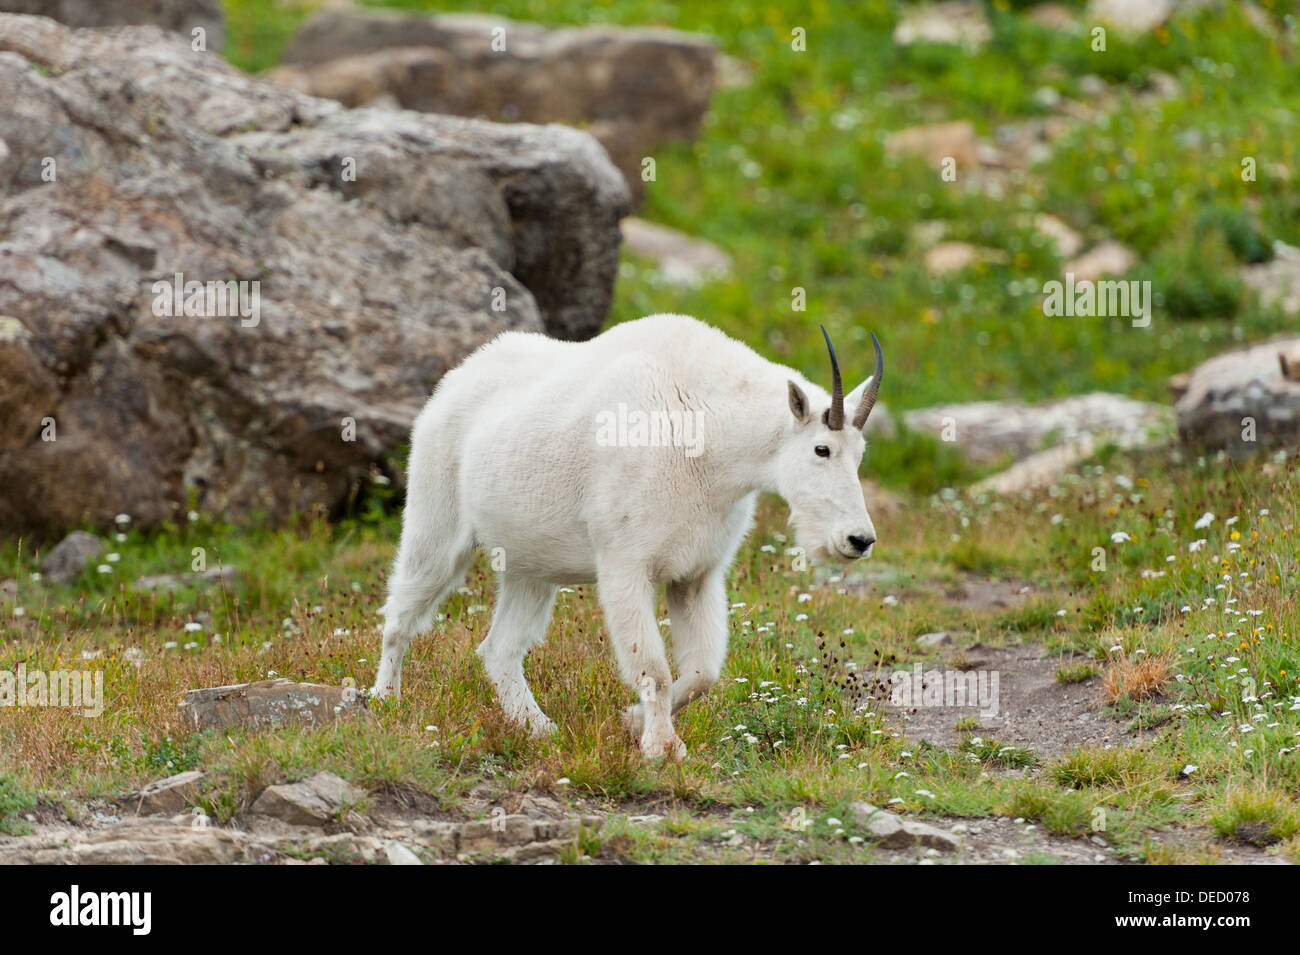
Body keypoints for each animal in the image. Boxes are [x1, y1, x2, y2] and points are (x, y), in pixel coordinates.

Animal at [371, 314, 889, 764]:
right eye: (821, 449)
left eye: (861, 454)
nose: (859, 539)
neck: (708, 432)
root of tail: (453, 381)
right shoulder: (626, 566)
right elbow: (655, 669)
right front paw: (661, 747)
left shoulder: (697, 575)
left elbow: (702, 672)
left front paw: (630, 721)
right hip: (436, 525)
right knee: (401, 614)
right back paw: (384, 701)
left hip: (529, 565)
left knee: (499, 648)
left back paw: (538, 728)